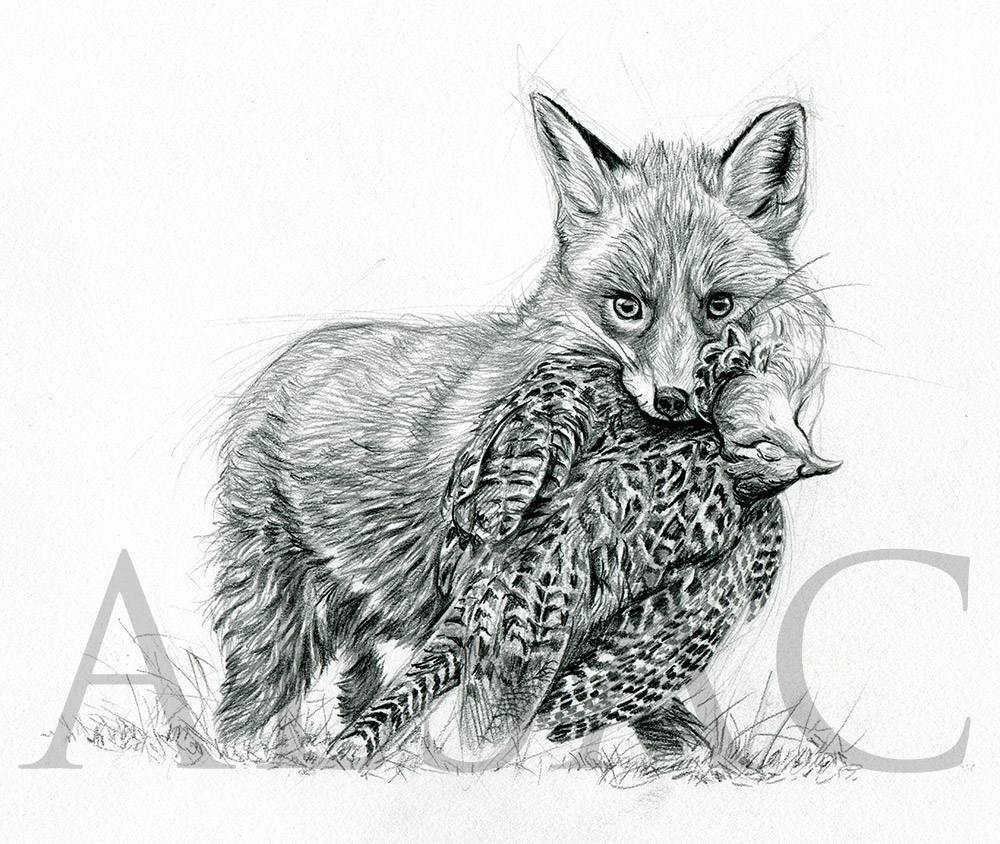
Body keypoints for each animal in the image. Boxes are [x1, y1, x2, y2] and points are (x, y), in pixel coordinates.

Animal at [210, 91, 830, 747]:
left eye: (720, 305)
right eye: (626, 307)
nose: (673, 400)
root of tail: (285, 362)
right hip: (273, 615)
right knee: (250, 705)